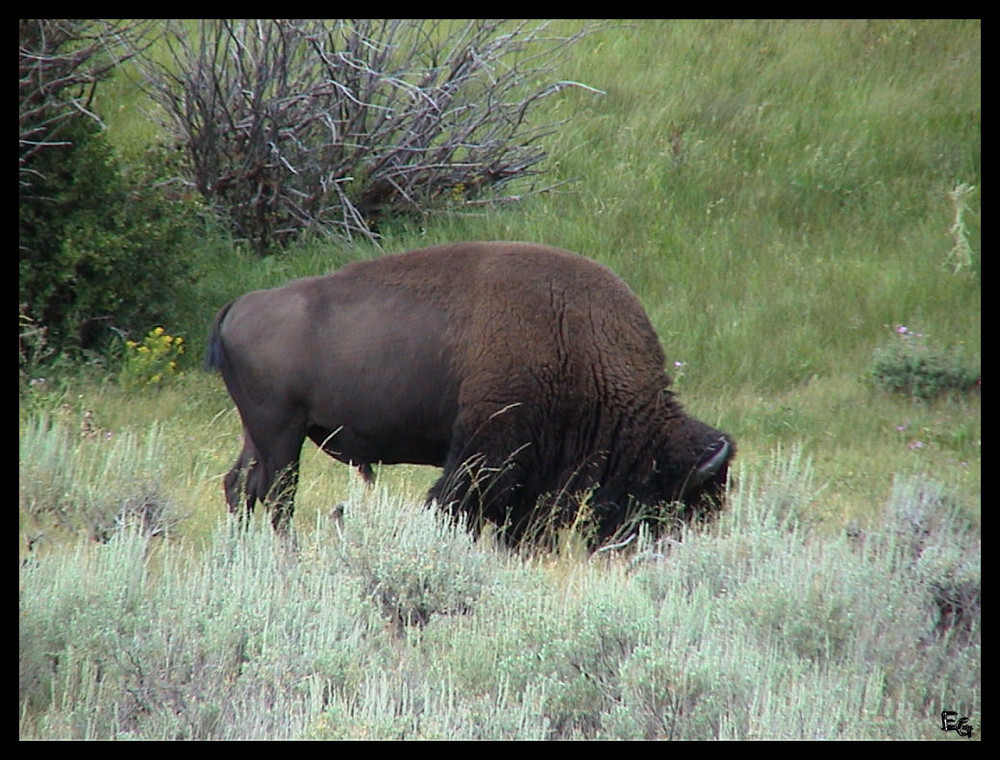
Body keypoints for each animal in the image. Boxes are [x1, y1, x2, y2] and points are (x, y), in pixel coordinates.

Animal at [205, 243, 736, 548]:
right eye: (684, 499)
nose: (671, 549)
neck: (576, 336)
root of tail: (240, 305)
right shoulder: (488, 448)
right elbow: (456, 503)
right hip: (281, 435)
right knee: (277, 497)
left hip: (260, 434)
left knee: (241, 486)